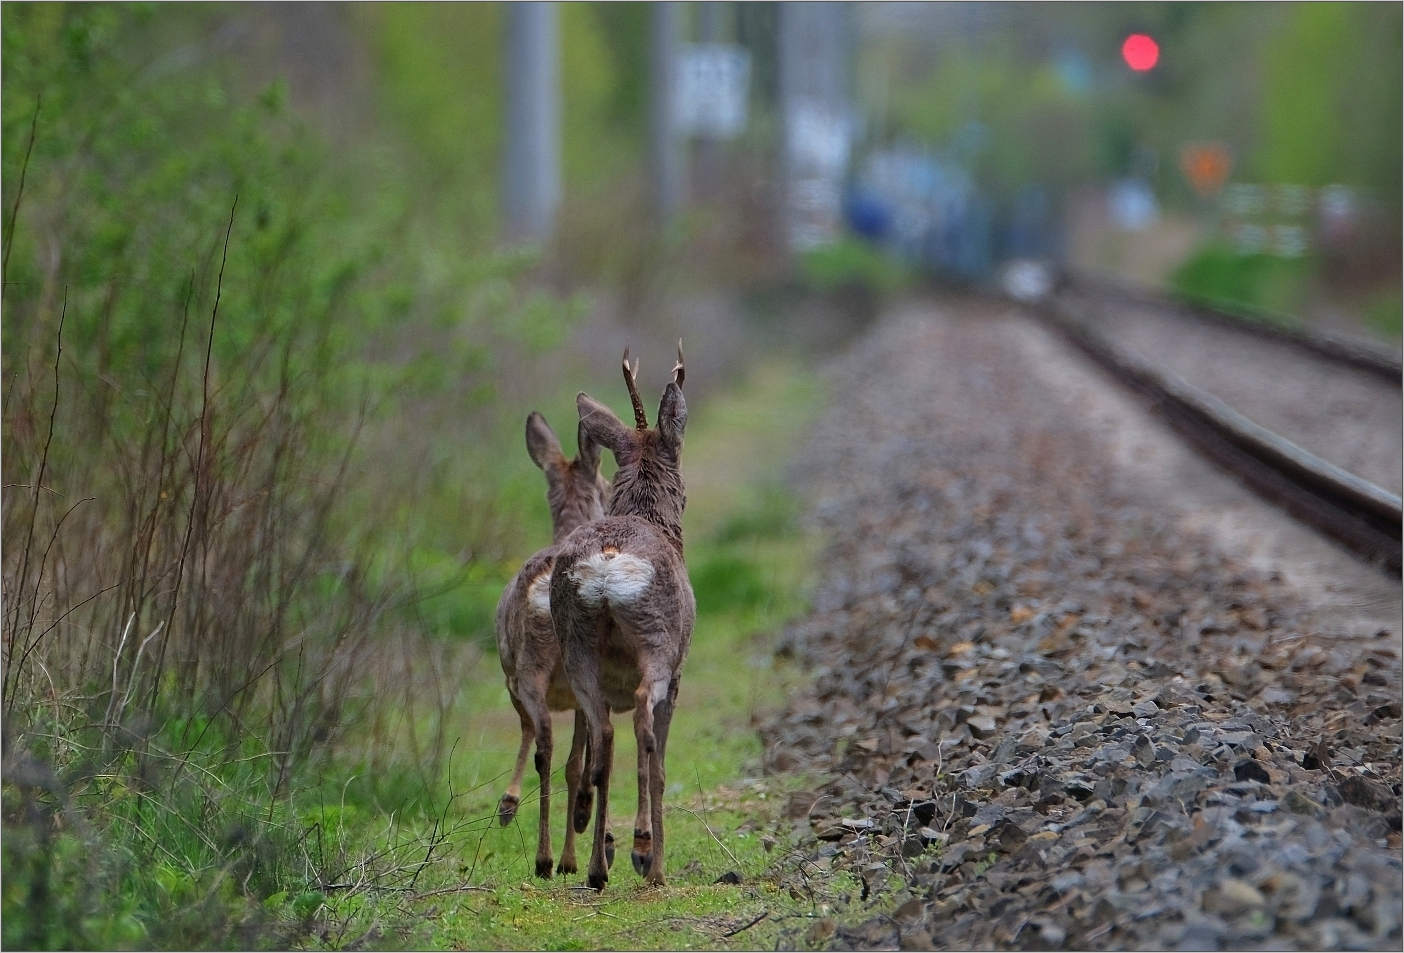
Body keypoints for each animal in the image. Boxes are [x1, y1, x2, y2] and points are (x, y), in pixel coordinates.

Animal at [499, 412, 620, 881]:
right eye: (607, 485)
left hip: (534, 669)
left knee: (547, 745)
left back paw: (551, 854)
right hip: (548, 669)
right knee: (555, 747)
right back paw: (560, 855)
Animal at [553, 346, 696, 892]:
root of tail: (609, 564)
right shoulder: (679, 672)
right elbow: (660, 755)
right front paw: (647, 853)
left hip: (575, 647)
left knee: (602, 745)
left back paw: (596, 868)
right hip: (658, 641)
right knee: (643, 730)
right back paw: (647, 859)